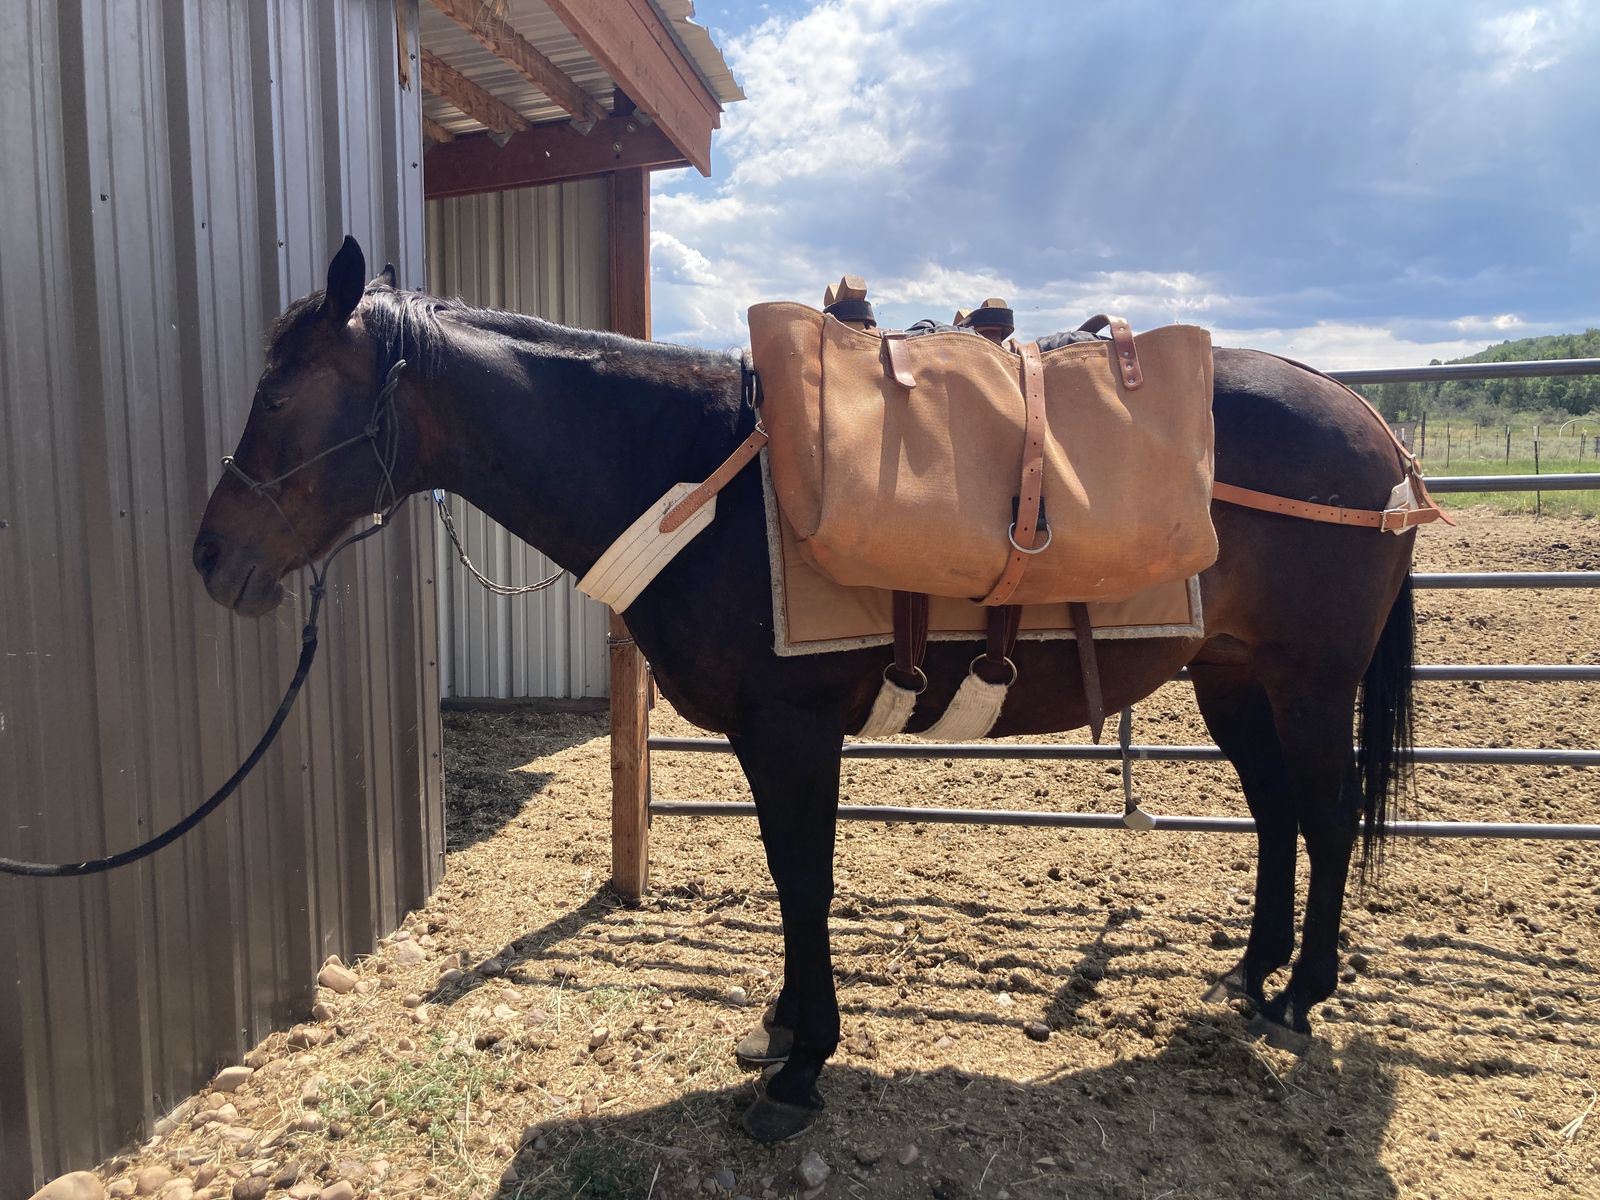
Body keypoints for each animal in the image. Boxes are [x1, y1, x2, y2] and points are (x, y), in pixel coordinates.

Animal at [194, 238, 1418, 1141]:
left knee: (1320, 817)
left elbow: (804, 882)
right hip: (1235, 685)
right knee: (1277, 816)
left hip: (1310, 688)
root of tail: (1373, 429)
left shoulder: (791, 734)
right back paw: (1254, 972)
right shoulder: (763, 741)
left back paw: (1303, 992)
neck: (701, 479)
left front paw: (799, 1068)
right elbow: (792, 881)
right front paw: (784, 1029)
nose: (210, 558)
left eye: (281, 398)